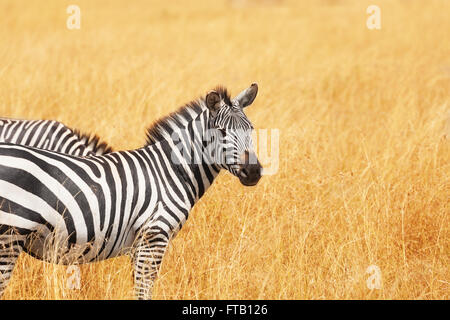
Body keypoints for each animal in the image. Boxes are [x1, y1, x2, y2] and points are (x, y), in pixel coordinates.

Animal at [0, 84, 260, 298]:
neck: (171, 171)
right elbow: (144, 291)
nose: (254, 171)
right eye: (222, 132)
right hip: (10, 236)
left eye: (251, 129)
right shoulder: (154, 236)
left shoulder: (139, 245)